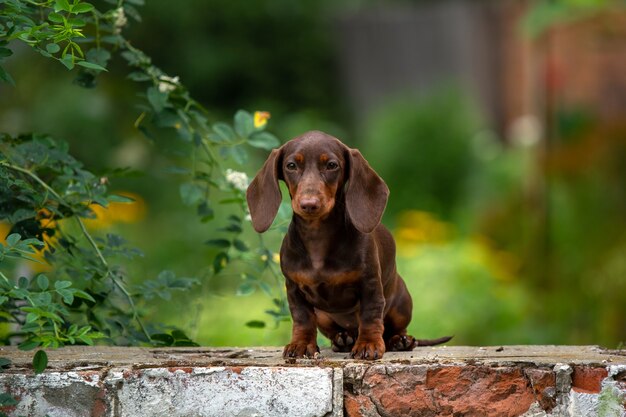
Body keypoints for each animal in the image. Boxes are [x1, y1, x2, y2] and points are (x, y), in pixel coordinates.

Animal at [246, 130, 450, 358]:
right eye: (291, 165)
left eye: (332, 165)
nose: (309, 204)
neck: (318, 237)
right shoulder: (294, 288)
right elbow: (302, 318)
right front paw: (301, 344)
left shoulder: (370, 285)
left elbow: (370, 316)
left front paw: (368, 344)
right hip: (323, 315)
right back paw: (343, 338)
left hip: (401, 304)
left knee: (394, 329)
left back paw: (400, 341)